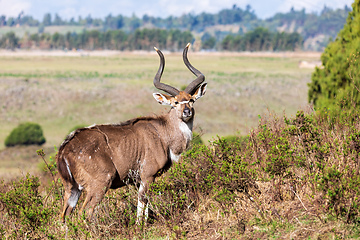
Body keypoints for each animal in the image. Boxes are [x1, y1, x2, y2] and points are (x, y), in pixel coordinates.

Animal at [57, 43, 208, 223]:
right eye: (175, 102)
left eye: (191, 100)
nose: (187, 112)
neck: (163, 133)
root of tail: (64, 150)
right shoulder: (147, 176)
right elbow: (143, 202)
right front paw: (140, 227)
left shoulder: (138, 181)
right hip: (99, 184)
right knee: (85, 212)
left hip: (72, 188)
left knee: (64, 215)